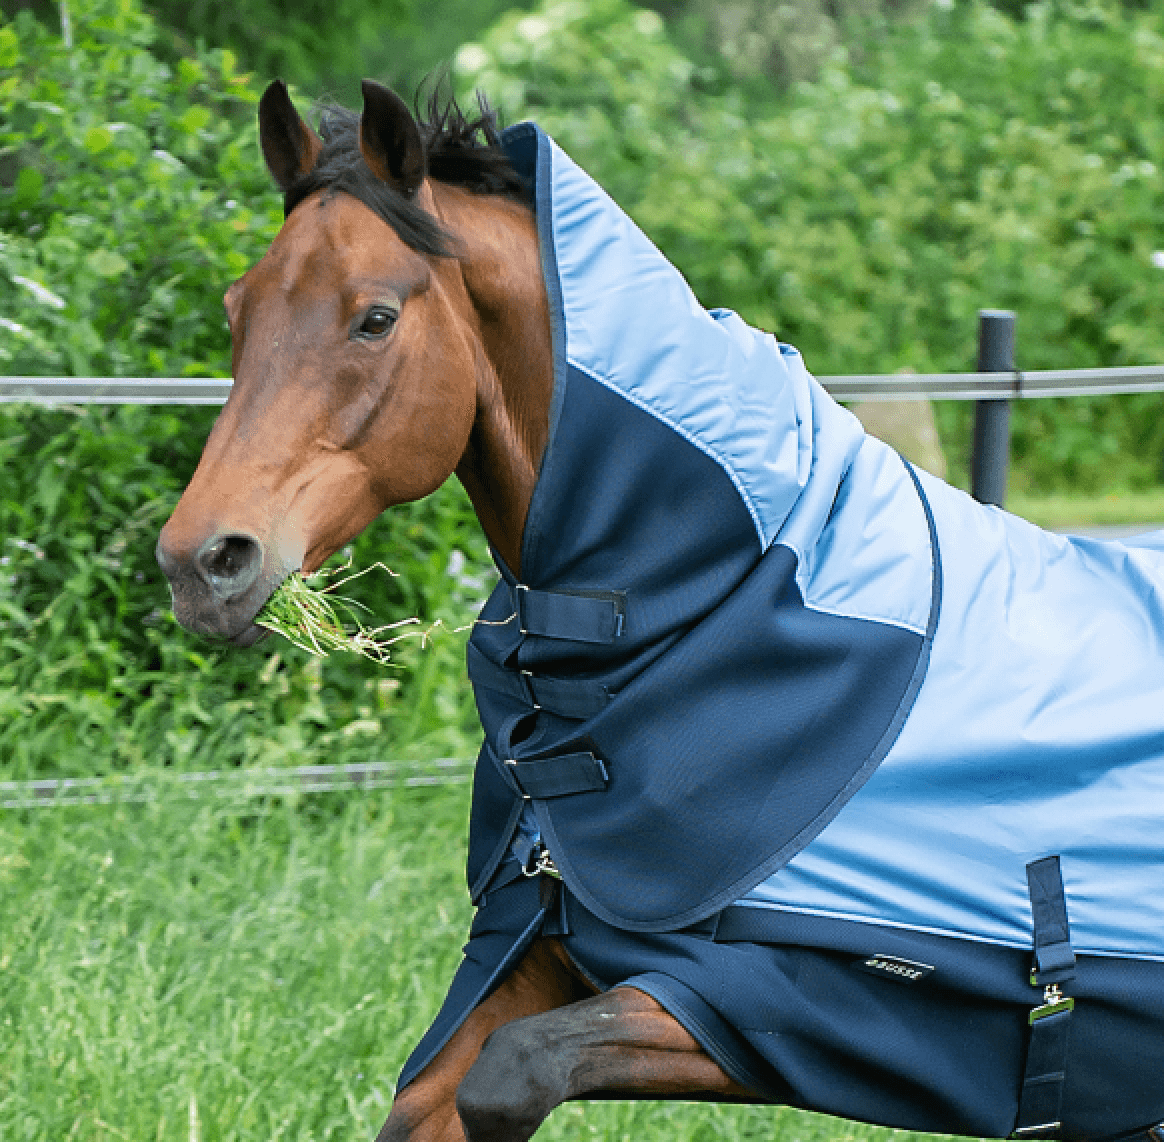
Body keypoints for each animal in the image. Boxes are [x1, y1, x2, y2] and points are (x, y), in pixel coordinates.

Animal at [156, 80, 1164, 1142]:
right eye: (237, 309)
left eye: (376, 318)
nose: (202, 562)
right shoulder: (536, 948)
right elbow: (432, 1098)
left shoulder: (775, 1004)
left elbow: (510, 1076)